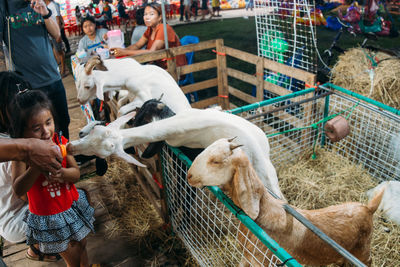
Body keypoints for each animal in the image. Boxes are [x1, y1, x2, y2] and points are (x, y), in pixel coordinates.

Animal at [188, 139, 384, 266]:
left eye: (216, 161)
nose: (189, 175)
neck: (263, 213)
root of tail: (368, 208)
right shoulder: (247, 257)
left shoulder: (260, 260)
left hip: (363, 250)